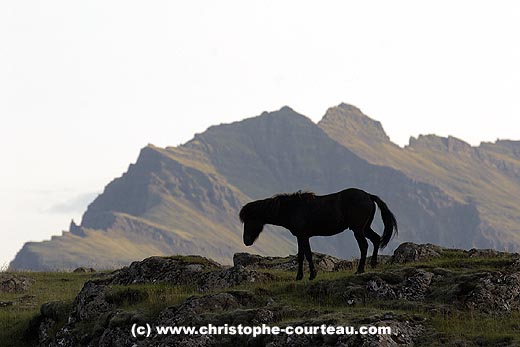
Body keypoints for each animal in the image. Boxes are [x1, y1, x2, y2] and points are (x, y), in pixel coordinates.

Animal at [240, 188, 398, 280]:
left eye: (250, 219)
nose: (246, 241)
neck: (292, 208)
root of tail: (369, 196)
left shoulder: (303, 236)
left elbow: (308, 255)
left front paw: (312, 275)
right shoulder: (300, 237)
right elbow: (301, 256)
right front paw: (299, 276)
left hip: (358, 229)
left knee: (364, 246)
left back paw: (360, 270)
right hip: (365, 228)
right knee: (376, 239)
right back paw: (373, 264)